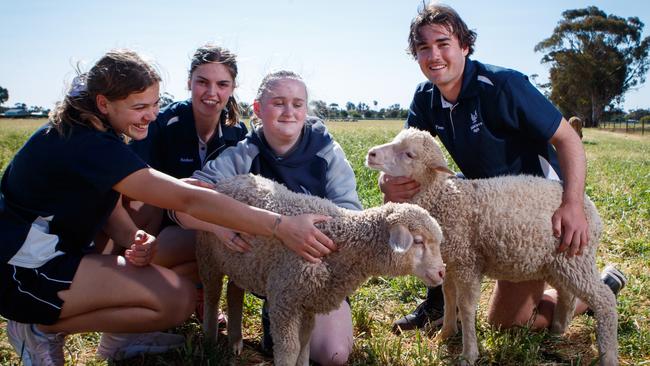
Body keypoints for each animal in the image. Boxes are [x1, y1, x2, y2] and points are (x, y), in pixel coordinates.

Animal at [194, 174, 446, 366]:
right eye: (418, 241)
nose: (441, 273)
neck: (341, 241)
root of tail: (227, 180)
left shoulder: (308, 300)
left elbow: (305, 342)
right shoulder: (285, 299)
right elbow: (289, 347)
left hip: (241, 262)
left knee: (234, 291)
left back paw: (235, 342)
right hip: (208, 256)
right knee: (212, 294)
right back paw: (209, 341)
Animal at [368, 129, 616, 366]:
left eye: (410, 154)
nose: (371, 154)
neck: (445, 199)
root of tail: (588, 205)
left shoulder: (467, 262)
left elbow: (466, 306)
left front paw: (468, 353)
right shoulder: (451, 262)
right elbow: (449, 297)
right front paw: (445, 333)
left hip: (576, 258)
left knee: (604, 299)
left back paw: (608, 353)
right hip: (556, 262)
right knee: (567, 293)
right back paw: (558, 328)